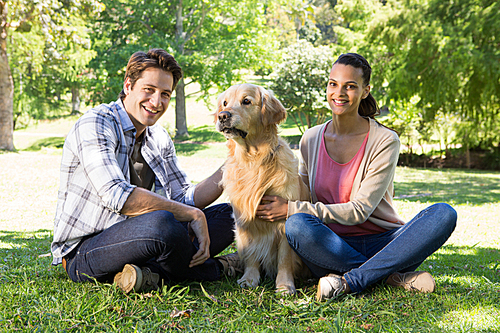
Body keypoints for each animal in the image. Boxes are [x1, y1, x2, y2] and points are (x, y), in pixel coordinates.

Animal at [215, 83, 308, 294]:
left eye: (246, 101)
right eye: (224, 102)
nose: (222, 116)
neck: (253, 162)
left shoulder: (283, 220)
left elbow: (284, 259)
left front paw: (284, 285)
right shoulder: (243, 219)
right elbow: (250, 253)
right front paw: (249, 279)